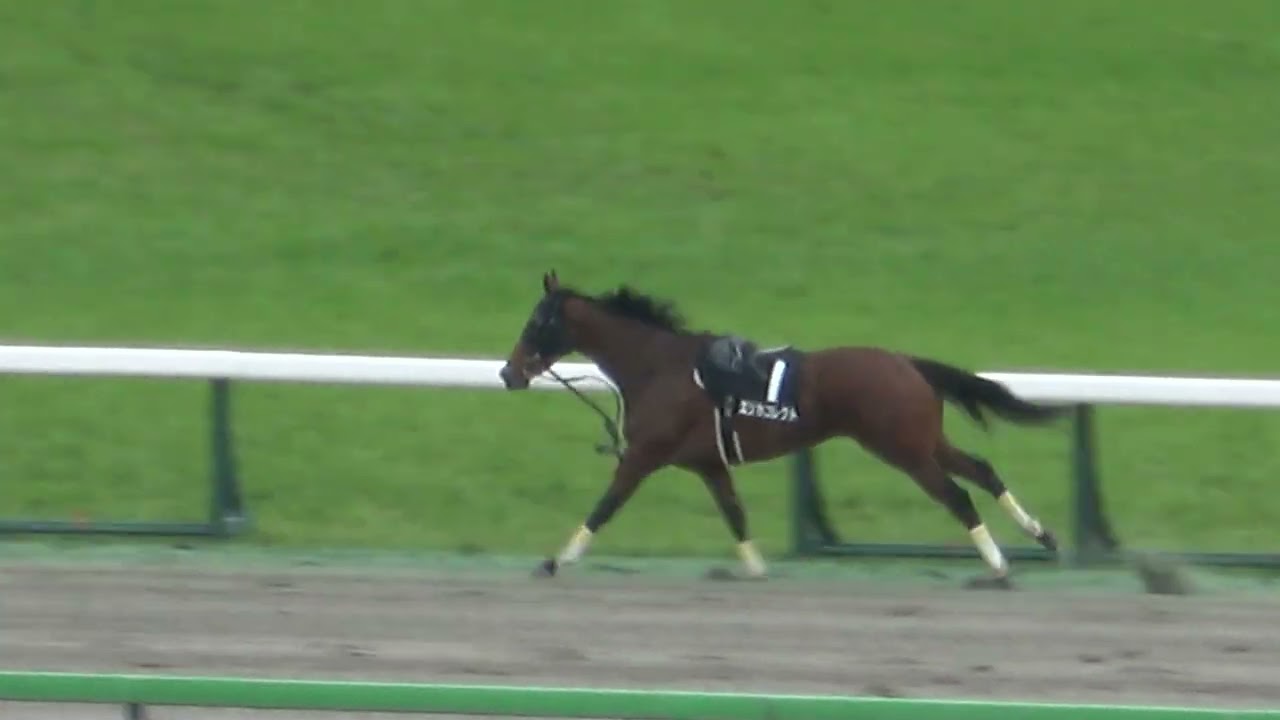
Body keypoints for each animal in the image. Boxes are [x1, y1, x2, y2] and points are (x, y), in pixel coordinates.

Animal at [499, 270, 1068, 588]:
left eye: (536, 322)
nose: (508, 373)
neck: (657, 366)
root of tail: (908, 363)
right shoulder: (708, 464)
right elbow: (735, 516)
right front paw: (753, 569)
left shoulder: (643, 455)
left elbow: (605, 506)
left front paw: (556, 561)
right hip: (924, 439)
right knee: (982, 470)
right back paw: (1041, 535)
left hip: (901, 449)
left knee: (957, 495)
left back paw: (998, 564)